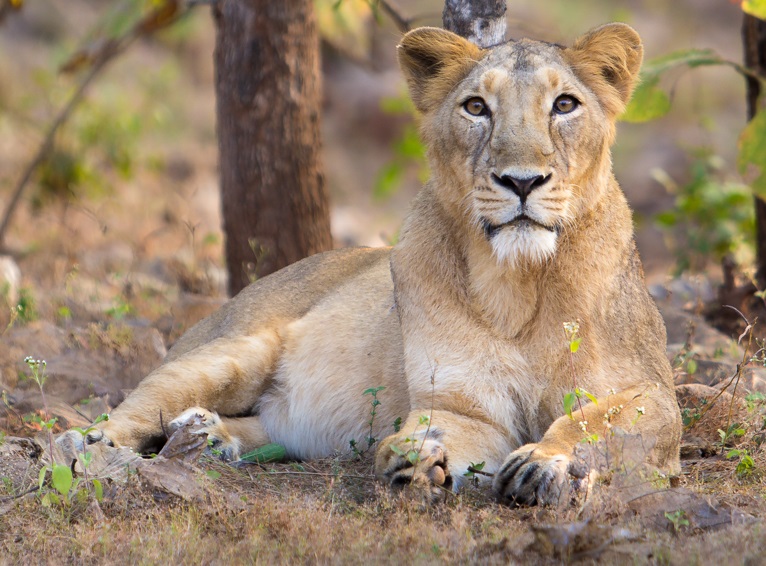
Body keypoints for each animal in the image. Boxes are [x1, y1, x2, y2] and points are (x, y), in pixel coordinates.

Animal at [60, 23, 684, 510]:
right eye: (476, 107)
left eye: (565, 105)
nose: (522, 180)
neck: (519, 283)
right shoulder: (460, 405)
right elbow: (441, 428)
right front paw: (414, 458)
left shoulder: (655, 395)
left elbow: (594, 420)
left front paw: (542, 463)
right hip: (232, 350)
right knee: (129, 410)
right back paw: (90, 448)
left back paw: (207, 437)